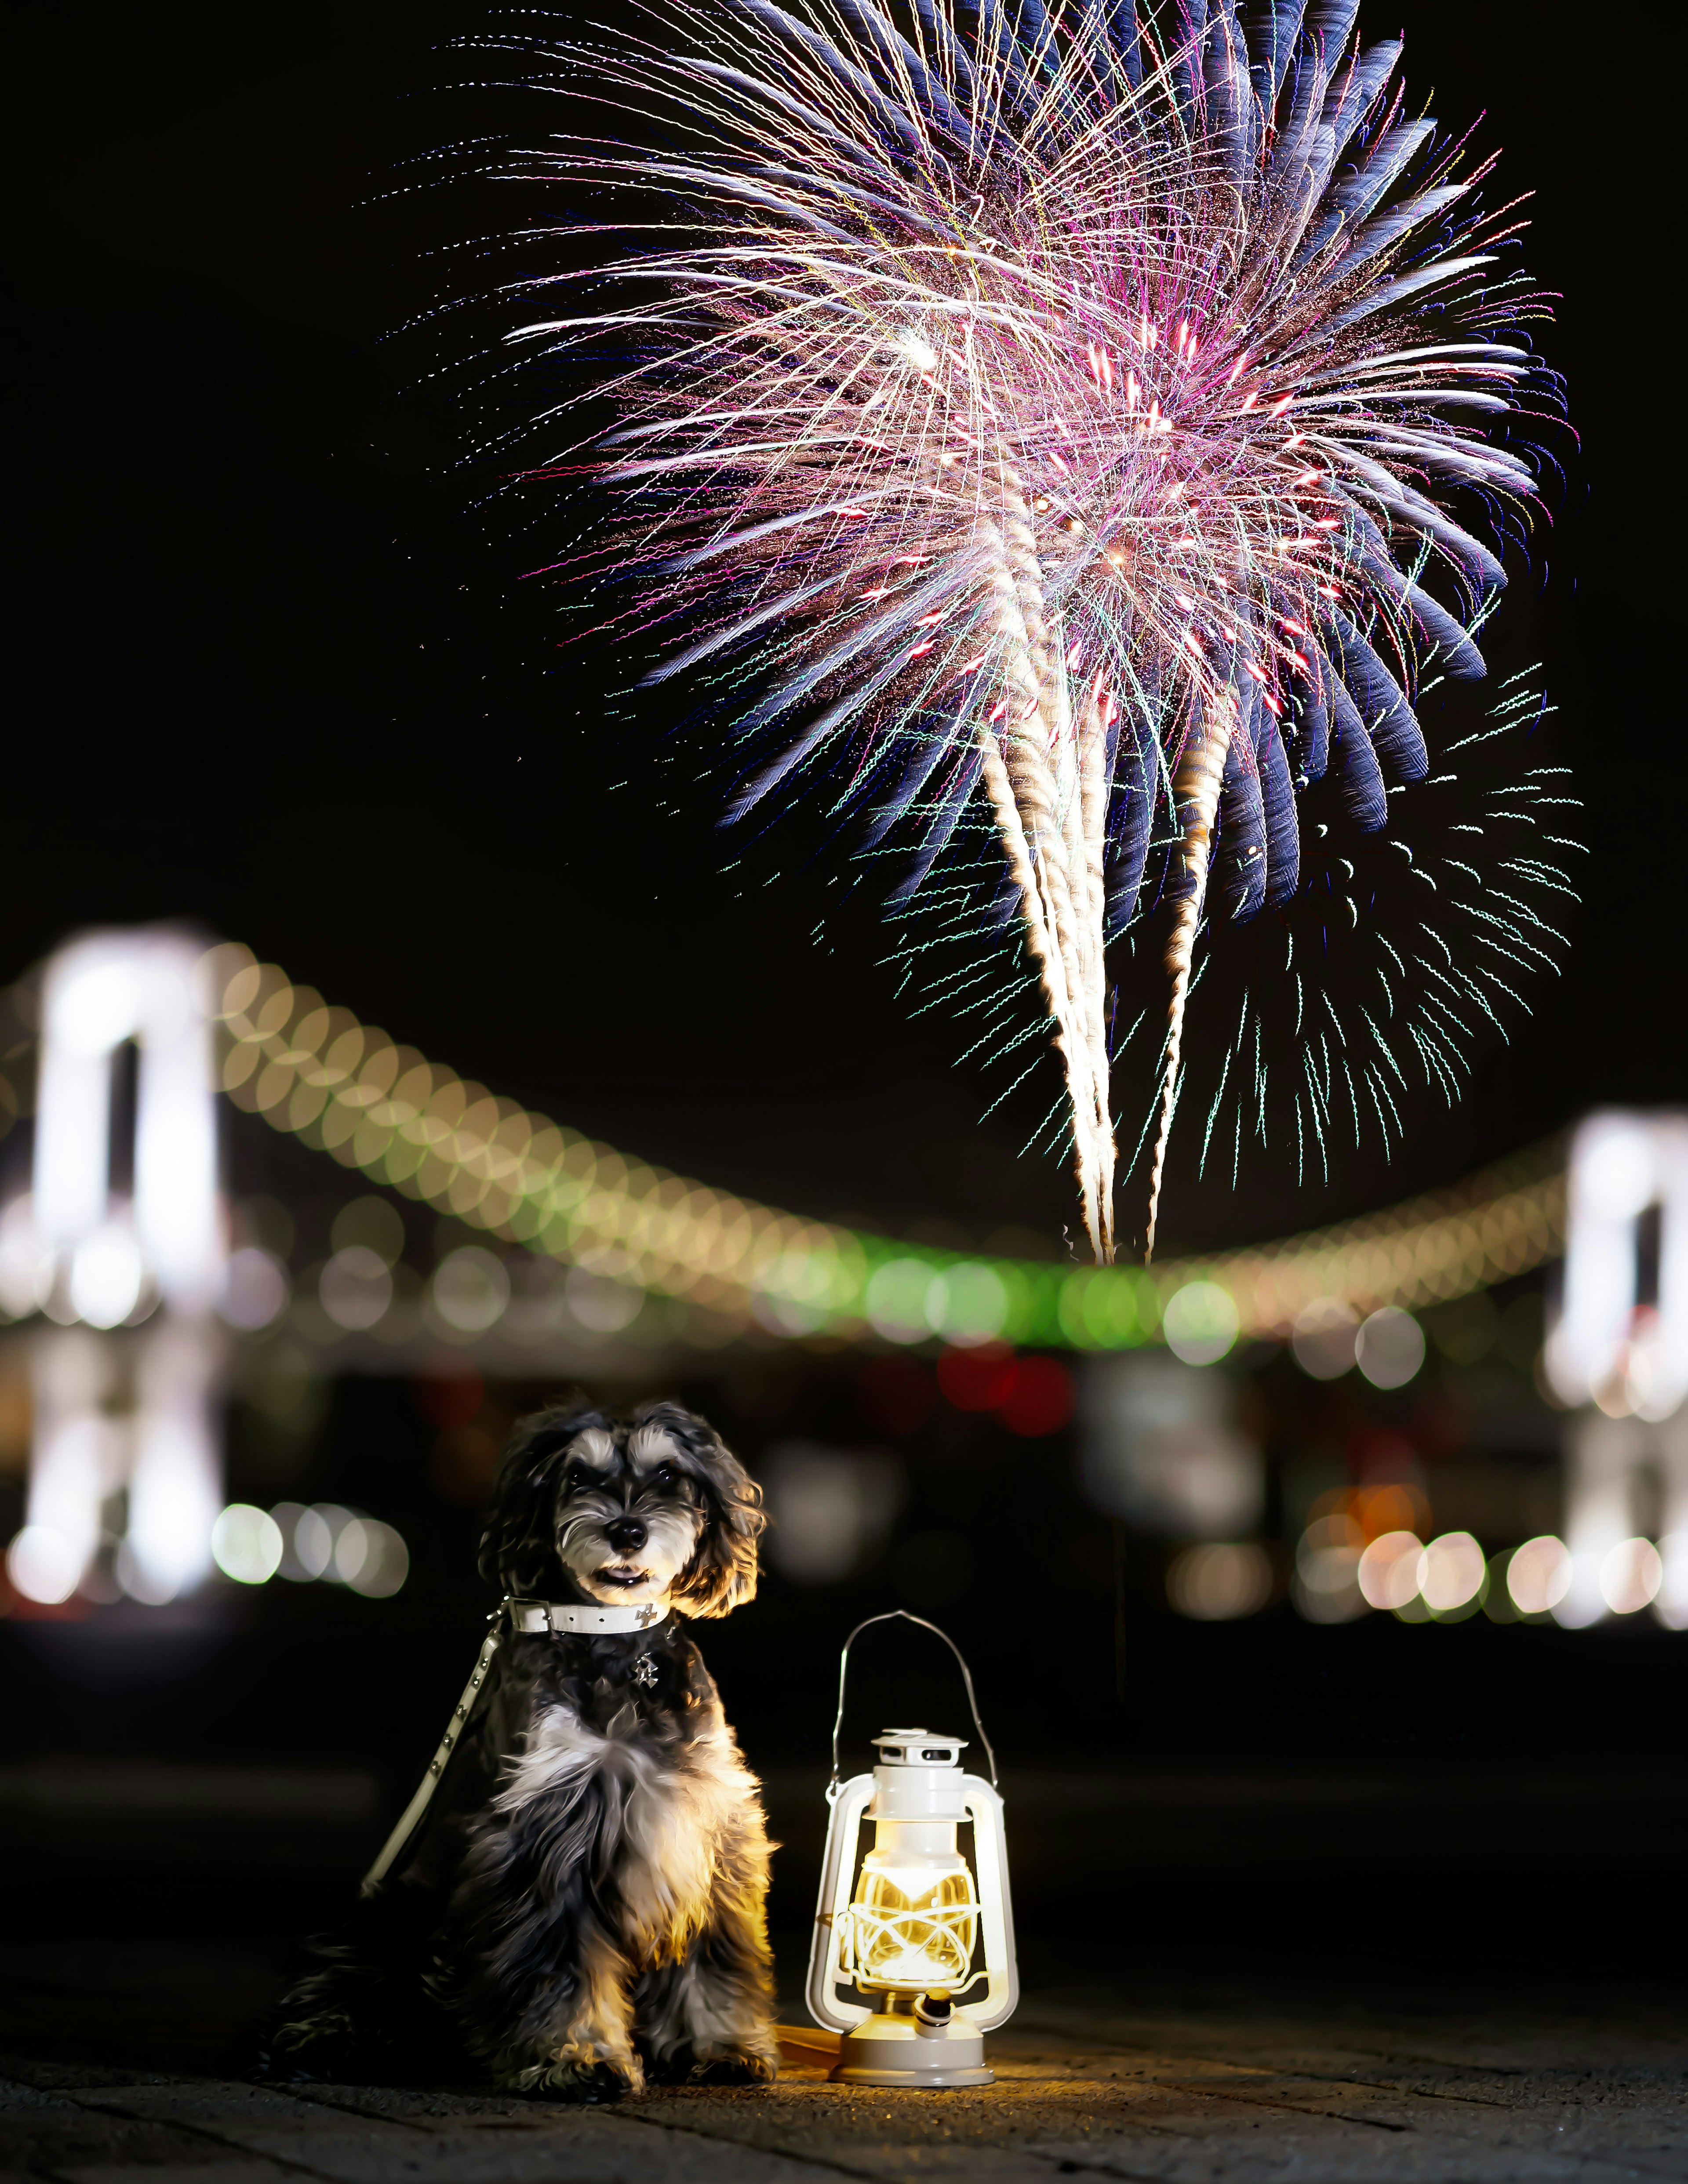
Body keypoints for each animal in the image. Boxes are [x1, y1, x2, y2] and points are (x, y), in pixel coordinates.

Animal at [266, 1398, 782, 2097]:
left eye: (669, 1475)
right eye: (577, 1476)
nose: (626, 1531)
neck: (614, 1647)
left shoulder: (704, 1829)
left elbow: (713, 1958)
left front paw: (721, 2045)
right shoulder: (543, 1839)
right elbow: (558, 1967)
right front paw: (577, 2057)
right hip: (395, 1914)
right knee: (347, 1981)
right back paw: (331, 2039)